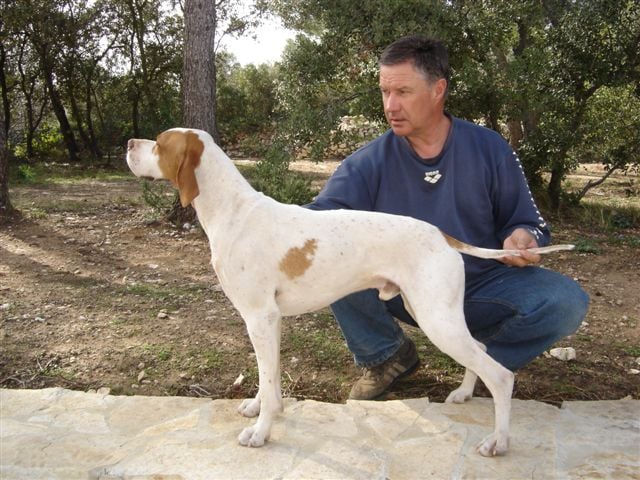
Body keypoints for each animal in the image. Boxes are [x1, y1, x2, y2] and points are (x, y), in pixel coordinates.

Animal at [126, 128, 574, 456]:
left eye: (161, 143)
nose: (129, 143)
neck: (234, 213)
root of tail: (442, 236)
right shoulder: (266, 321)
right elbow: (268, 379)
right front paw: (259, 408)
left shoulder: (259, 317)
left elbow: (268, 380)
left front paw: (261, 432)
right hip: (437, 313)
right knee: (480, 351)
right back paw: (464, 394)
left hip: (437, 320)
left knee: (500, 375)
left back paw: (498, 441)